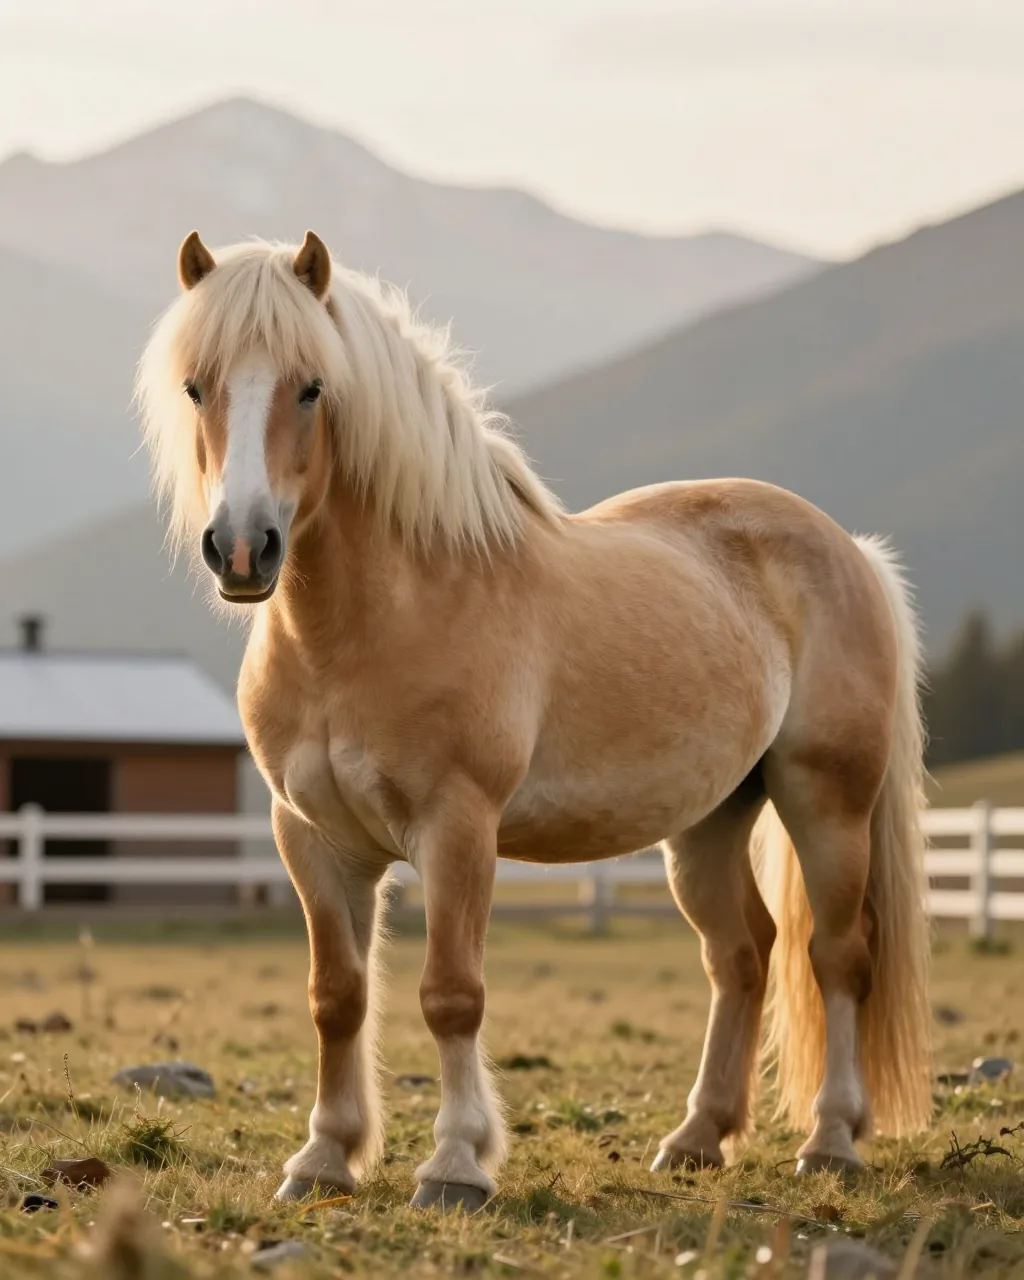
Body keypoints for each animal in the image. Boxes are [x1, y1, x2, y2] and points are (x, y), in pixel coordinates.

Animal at [136, 229, 932, 1212]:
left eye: (312, 386)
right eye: (195, 386)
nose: (243, 549)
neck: (377, 622)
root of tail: (848, 548)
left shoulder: (457, 828)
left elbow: (451, 994)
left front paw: (454, 1166)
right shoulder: (313, 837)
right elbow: (338, 996)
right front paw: (323, 1158)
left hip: (827, 803)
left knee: (838, 957)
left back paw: (830, 1142)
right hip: (710, 822)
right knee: (742, 955)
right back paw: (697, 1139)